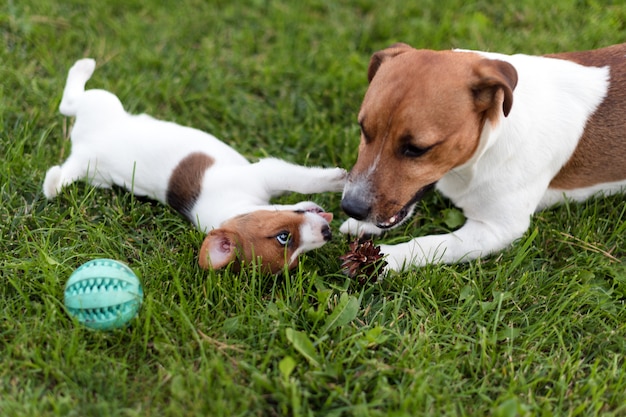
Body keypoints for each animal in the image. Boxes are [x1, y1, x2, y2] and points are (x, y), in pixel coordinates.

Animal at [44, 58, 346, 272]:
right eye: (284, 238)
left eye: (297, 260)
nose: (327, 233)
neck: (236, 207)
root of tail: (83, 150)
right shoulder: (266, 171)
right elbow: (304, 179)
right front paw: (340, 179)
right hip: (101, 102)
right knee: (67, 104)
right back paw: (83, 67)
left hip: (96, 173)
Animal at [338, 41, 624, 270]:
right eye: (363, 129)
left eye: (416, 149)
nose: (351, 207)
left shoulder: (496, 230)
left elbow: (432, 244)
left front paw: (386, 259)